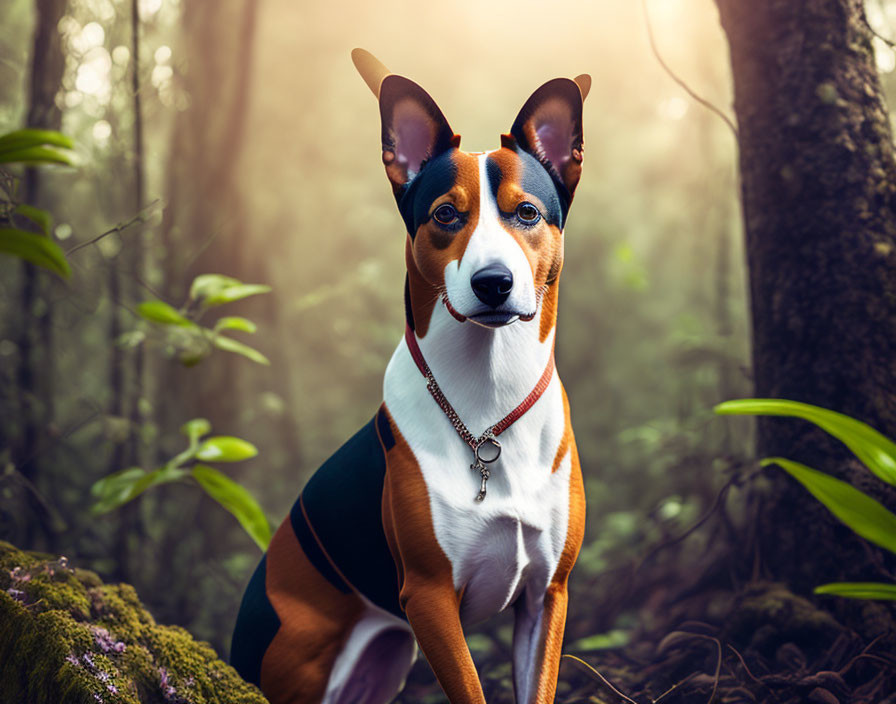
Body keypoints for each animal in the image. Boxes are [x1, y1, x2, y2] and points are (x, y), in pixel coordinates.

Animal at [233, 51, 588, 704]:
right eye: (446, 214)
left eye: (527, 212)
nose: (493, 282)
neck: (485, 408)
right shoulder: (429, 599)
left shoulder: (546, 596)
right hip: (301, 668)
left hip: (384, 664)